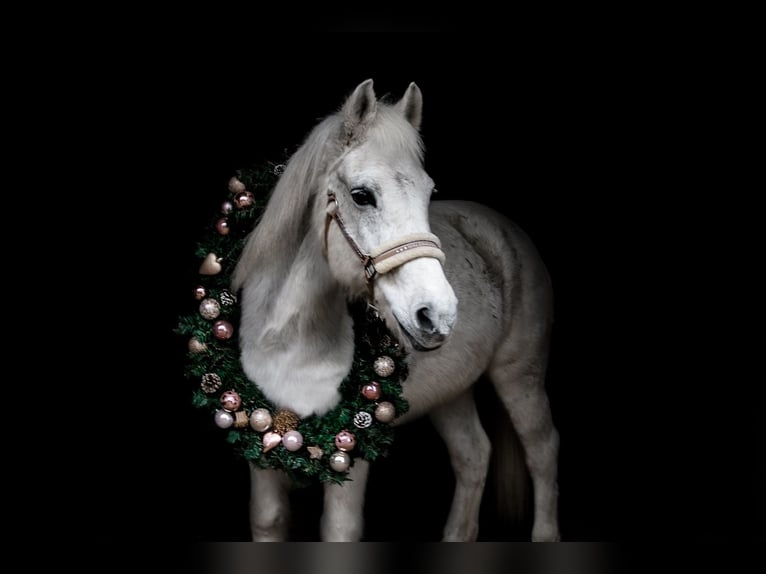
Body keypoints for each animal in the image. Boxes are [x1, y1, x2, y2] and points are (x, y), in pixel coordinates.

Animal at [231, 79, 560, 544]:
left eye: (428, 192)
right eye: (361, 195)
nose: (438, 315)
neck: (288, 339)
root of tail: (506, 230)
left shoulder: (351, 447)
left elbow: (340, 529)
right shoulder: (258, 449)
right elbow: (268, 518)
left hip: (520, 376)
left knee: (542, 448)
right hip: (451, 392)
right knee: (474, 455)